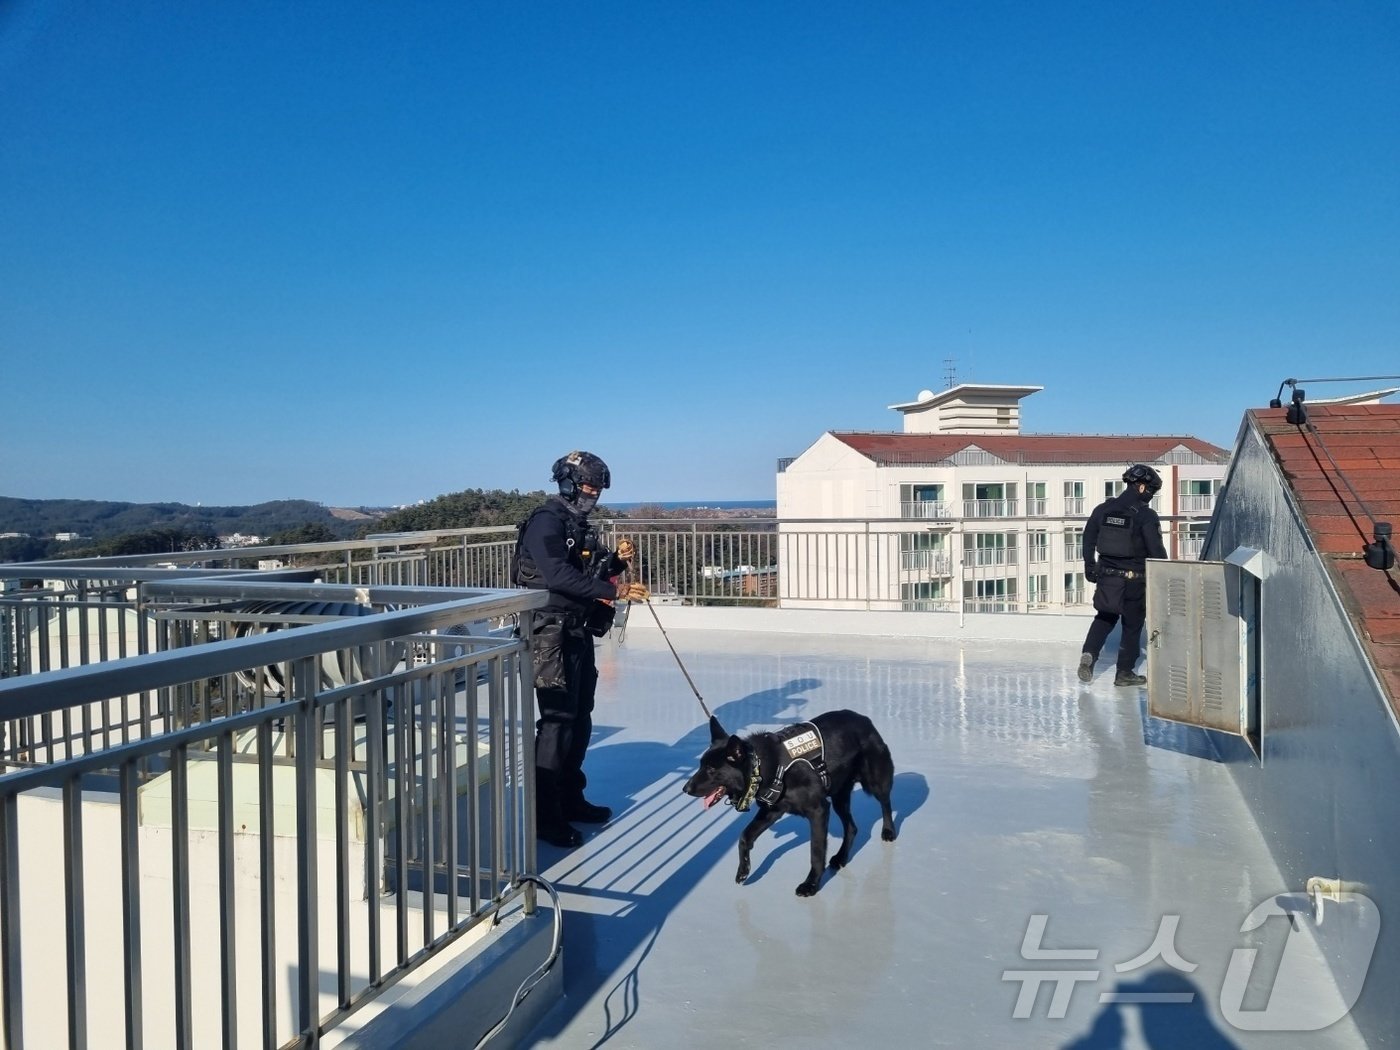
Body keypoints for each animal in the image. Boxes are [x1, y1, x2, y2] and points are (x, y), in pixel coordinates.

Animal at [686, 708, 896, 896]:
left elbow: (816, 851)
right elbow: (745, 837)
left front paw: (811, 885)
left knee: (885, 803)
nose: (685, 789)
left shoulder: (818, 811)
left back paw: (888, 831)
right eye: (700, 765)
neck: (761, 766)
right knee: (852, 827)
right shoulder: (772, 811)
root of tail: (864, 719)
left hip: (875, 782)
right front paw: (743, 870)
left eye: (711, 770)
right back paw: (841, 858)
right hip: (839, 798)